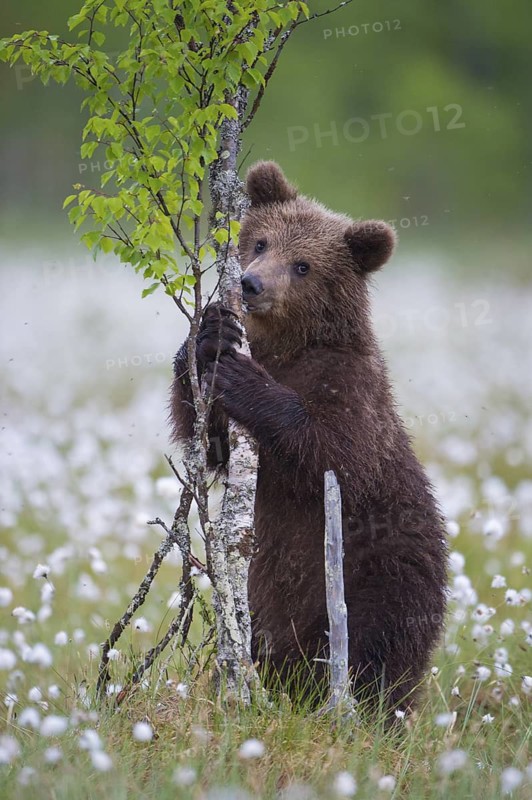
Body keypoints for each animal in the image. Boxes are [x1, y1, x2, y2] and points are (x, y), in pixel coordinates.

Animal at [170, 161, 447, 714]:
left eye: (303, 266)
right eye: (260, 241)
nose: (251, 284)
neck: (288, 347)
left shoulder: (352, 386)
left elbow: (332, 453)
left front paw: (244, 379)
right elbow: (207, 439)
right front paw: (209, 337)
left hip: (382, 575)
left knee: (378, 653)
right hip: (264, 604)